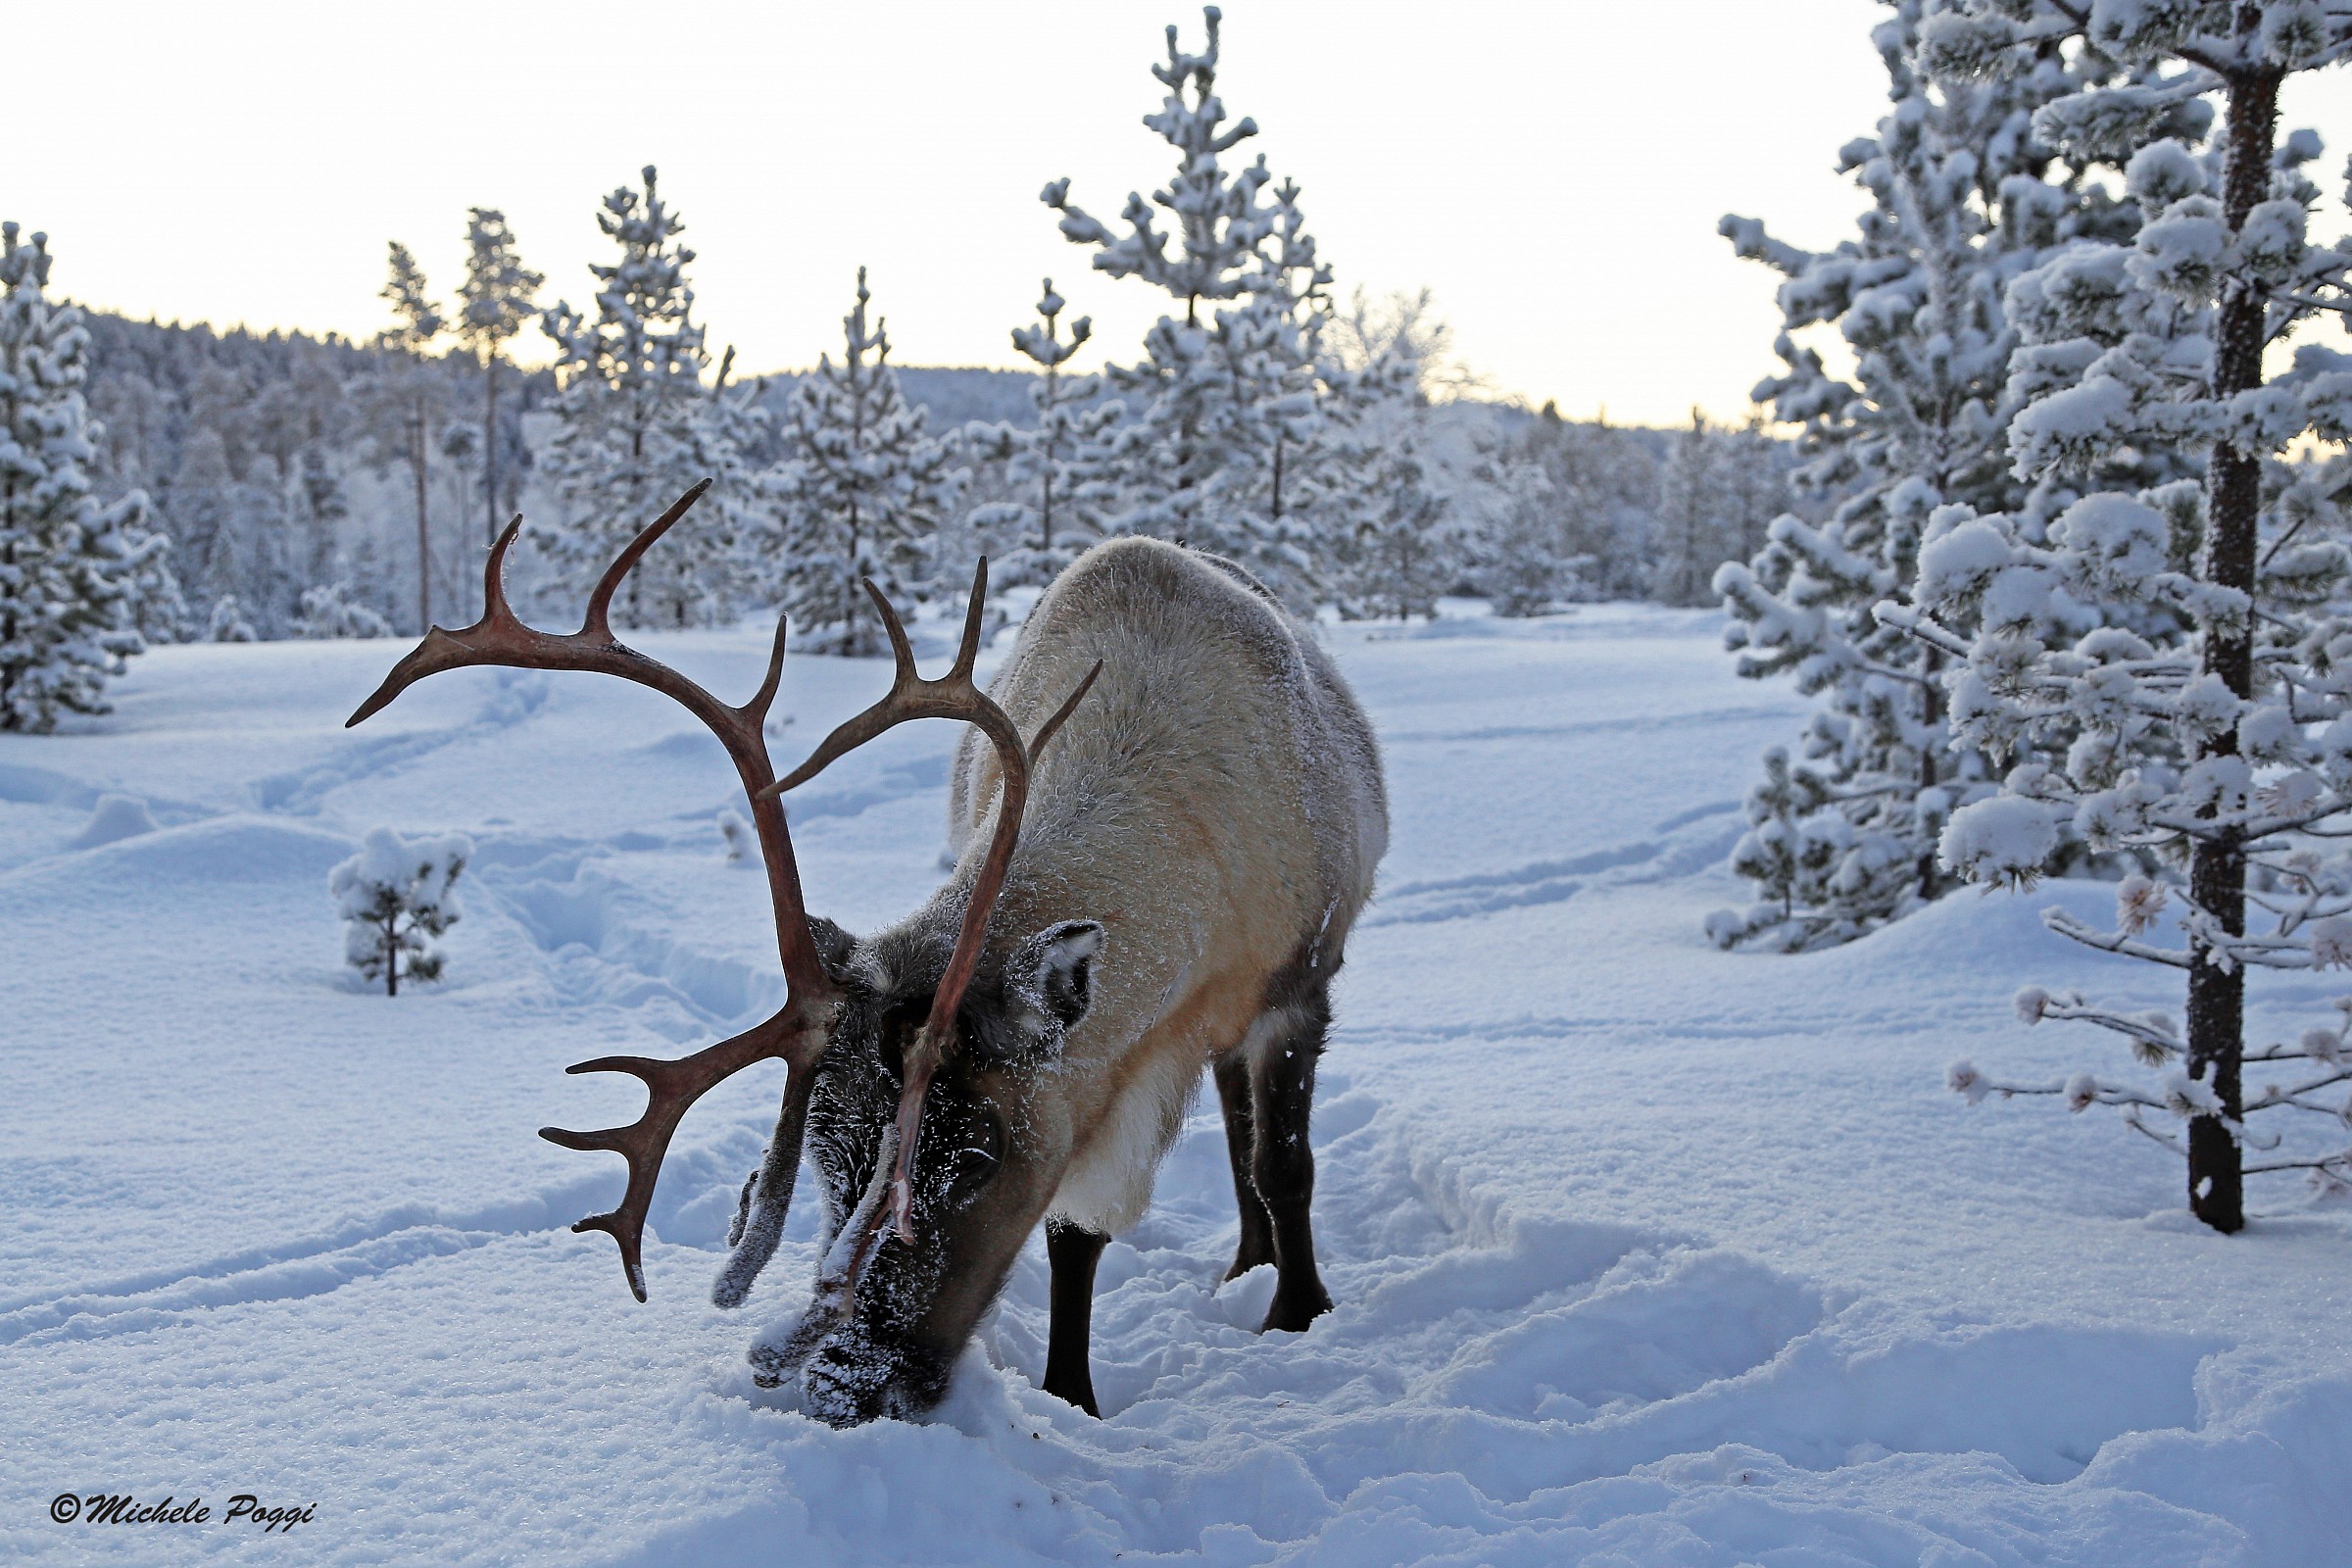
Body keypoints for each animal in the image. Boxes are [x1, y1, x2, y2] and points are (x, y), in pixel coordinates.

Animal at [349, 483, 1387, 1427]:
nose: (843, 1387)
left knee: (1248, 1127)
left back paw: (1259, 1265)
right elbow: (1074, 1236)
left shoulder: (1301, 985)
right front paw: (1071, 1395)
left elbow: (1286, 1163)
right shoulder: (1096, 1080)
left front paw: (1301, 1315)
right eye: (823, 1156)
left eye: (975, 1158)